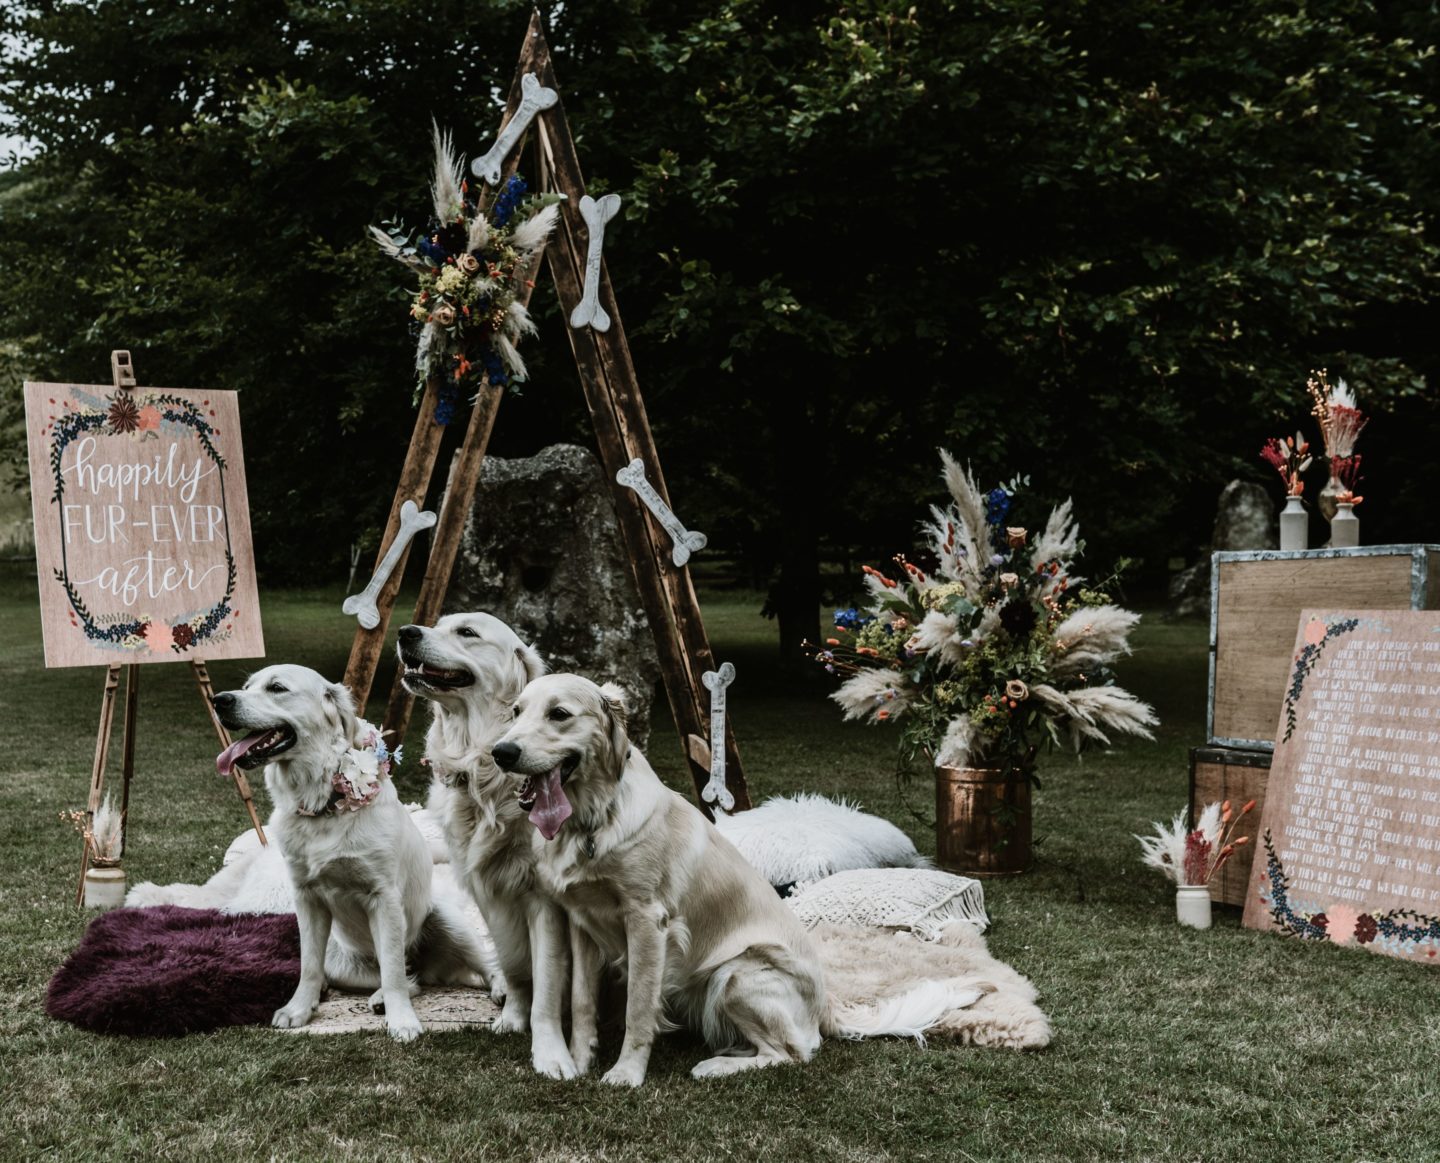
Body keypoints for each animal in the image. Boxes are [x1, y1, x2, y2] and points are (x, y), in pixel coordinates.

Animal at [210, 662, 495, 1042]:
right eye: (246, 687)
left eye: (277, 688)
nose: (220, 700)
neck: (324, 806)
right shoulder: (307, 898)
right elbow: (310, 966)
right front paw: (299, 1009)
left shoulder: (384, 898)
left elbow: (393, 970)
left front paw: (403, 1022)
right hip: (340, 960)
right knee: (409, 978)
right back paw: (375, 997)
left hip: (448, 920)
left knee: (477, 965)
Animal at [400, 613, 578, 1076]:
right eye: (437, 623)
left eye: (467, 632)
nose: (406, 632)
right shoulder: (489, 890)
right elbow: (515, 966)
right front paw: (513, 1017)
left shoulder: (545, 900)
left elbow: (546, 982)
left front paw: (551, 1053)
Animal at [489, 676, 984, 1088]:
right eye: (516, 711)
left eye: (559, 714)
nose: (501, 753)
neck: (594, 819)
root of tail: (824, 1008)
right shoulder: (581, 921)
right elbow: (581, 1003)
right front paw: (575, 1061)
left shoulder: (648, 923)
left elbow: (638, 1008)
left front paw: (626, 1073)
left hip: (736, 973)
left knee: (794, 1052)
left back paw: (716, 1065)